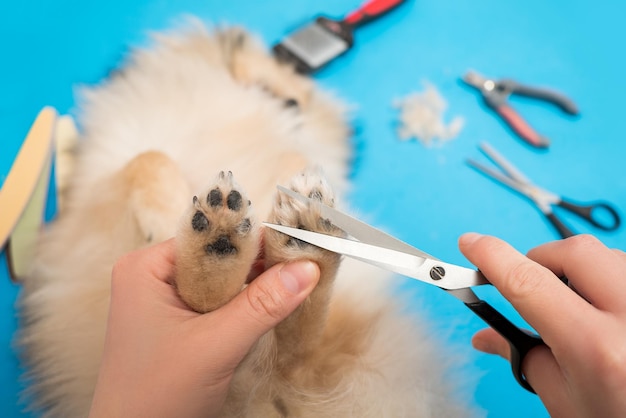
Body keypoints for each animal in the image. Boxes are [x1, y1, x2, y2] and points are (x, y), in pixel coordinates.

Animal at [18, 20, 478, 418]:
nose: (288, 105)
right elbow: (149, 157)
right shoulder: (101, 183)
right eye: (279, 92)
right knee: (240, 322)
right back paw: (225, 240)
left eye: (293, 103)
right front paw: (167, 214)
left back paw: (290, 240)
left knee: (294, 345)